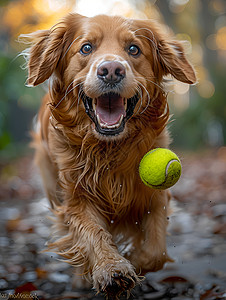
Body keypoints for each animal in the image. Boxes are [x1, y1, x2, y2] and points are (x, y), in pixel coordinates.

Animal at [22, 13, 196, 298]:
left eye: (134, 49)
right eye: (86, 48)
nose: (112, 70)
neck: (108, 149)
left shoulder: (154, 196)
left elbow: (155, 251)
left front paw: (134, 260)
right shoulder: (76, 197)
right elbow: (92, 233)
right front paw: (111, 268)